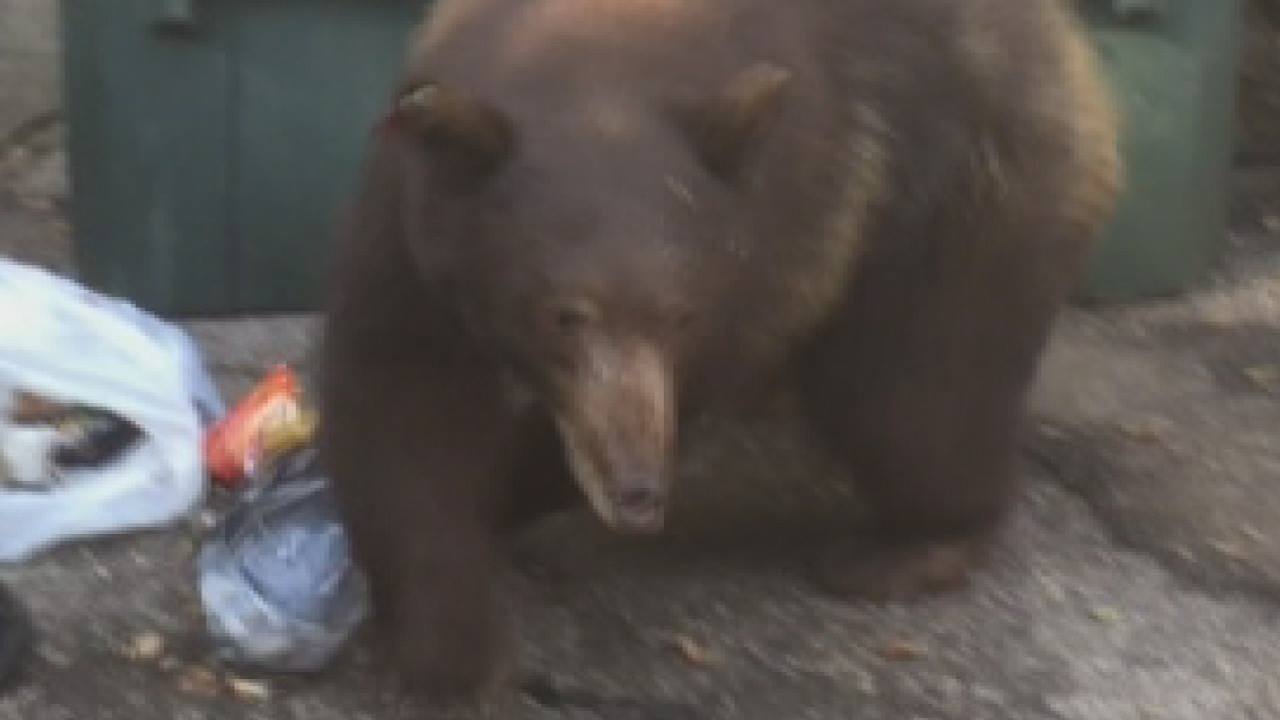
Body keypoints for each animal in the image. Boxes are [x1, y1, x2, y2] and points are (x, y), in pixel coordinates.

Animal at [318, 0, 1121, 700]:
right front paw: (450, 650)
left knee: (915, 394)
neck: (601, 55)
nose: (638, 490)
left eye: (682, 315)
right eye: (564, 315)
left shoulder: (786, 225)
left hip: (962, 192)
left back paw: (910, 546)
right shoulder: (410, 227)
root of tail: (1067, 43)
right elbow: (404, 397)